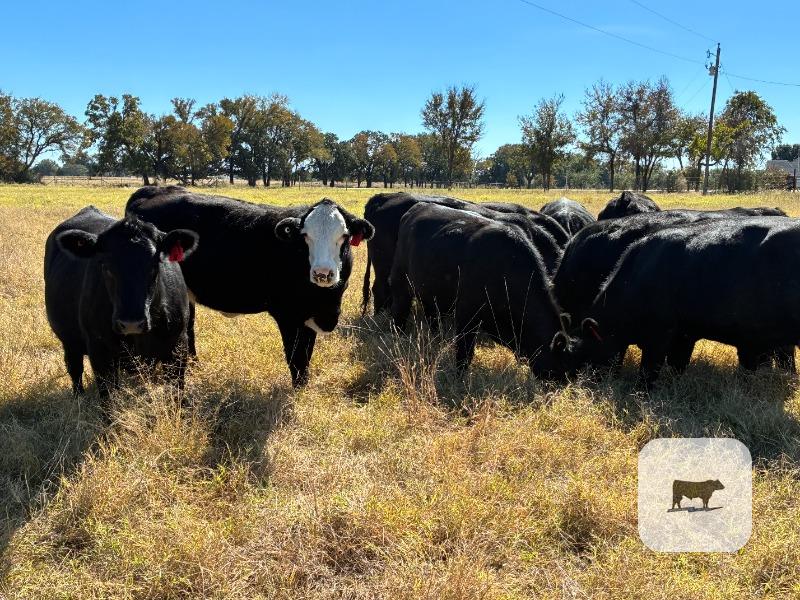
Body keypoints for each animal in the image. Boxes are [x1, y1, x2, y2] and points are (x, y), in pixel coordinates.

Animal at [44, 206, 198, 397]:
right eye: (105, 265)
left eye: (154, 265)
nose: (131, 323)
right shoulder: (99, 349)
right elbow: (108, 397)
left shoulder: (178, 345)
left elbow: (176, 393)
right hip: (68, 340)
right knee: (75, 369)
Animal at [126, 186, 374, 387]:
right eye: (305, 236)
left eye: (344, 236)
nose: (323, 273)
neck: (325, 300)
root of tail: (153, 190)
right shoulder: (288, 316)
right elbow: (296, 359)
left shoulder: (310, 318)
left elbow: (306, 356)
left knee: (189, 327)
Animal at [389, 203, 573, 375]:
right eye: (561, 365)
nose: (562, 384)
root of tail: (416, 208)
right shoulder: (466, 313)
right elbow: (465, 352)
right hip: (401, 282)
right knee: (400, 310)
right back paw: (398, 337)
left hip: (430, 292)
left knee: (432, 316)